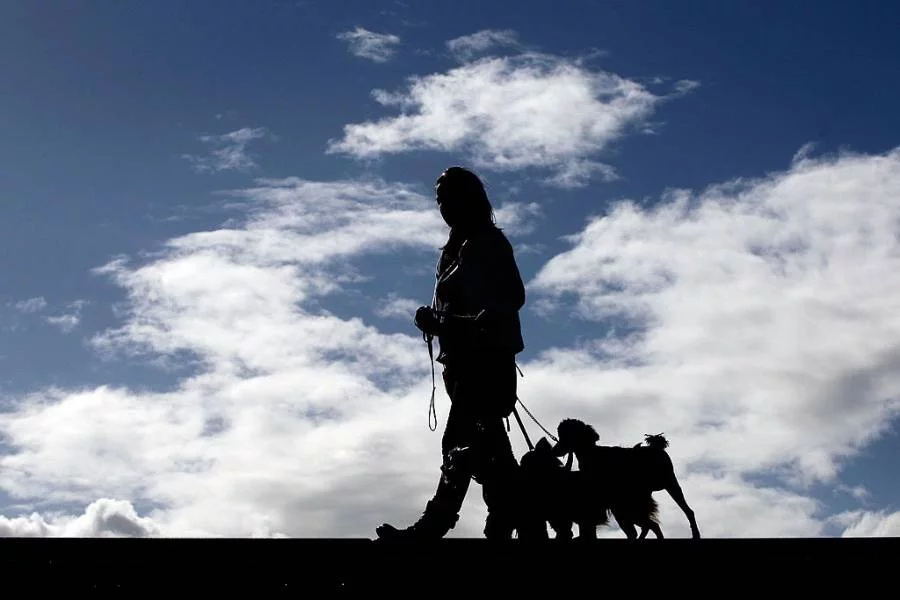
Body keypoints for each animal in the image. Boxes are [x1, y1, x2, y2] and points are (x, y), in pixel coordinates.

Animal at [548, 418, 704, 540]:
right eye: (560, 435)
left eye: (567, 435)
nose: (554, 451)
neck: (592, 454)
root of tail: (657, 447)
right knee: (646, 527)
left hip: (669, 483)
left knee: (687, 512)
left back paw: (695, 534)